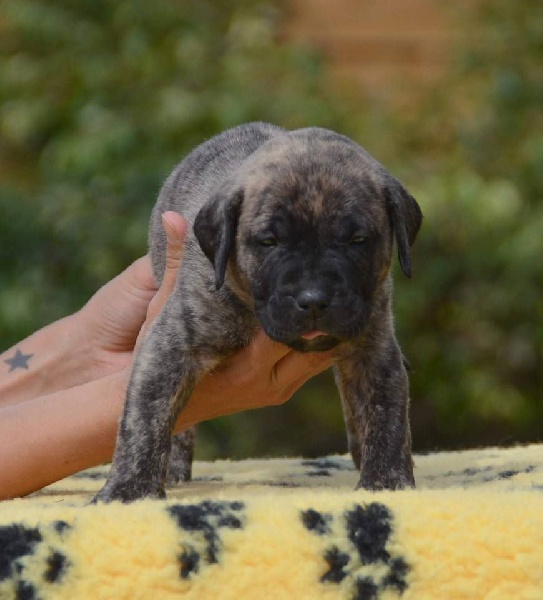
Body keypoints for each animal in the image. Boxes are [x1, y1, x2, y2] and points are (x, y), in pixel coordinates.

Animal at [94, 122, 422, 503]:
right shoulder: (169, 346)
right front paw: (128, 491)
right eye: (269, 242)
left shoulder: (374, 348)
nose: (313, 299)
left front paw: (386, 482)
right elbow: (145, 417)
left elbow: (386, 413)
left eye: (358, 241)